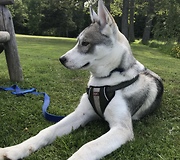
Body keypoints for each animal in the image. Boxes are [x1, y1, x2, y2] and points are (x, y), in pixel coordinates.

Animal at [0, 0, 163, 159]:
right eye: (78, 41)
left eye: (85, 43)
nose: (61, 59)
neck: (106, 80)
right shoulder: (81, 114)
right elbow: (47, 131)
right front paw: (14, 150)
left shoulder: (122, 129)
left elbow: (88, 147)